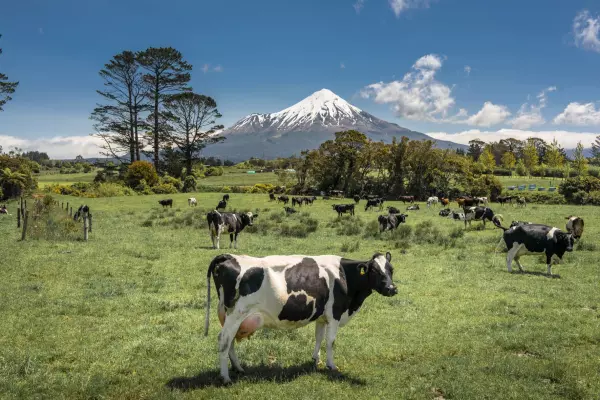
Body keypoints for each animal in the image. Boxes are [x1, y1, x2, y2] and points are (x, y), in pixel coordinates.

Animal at [205, 252, 398, 382]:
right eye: (374, 270)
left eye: (391, 269)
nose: (392, 288)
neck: (344, 275)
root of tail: (229, 256)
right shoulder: (335, 314)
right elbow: (331, 341)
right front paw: (331, 366)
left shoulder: (322, 316)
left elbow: (319, 337)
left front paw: (316, 360)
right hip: (236, 314)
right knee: (224, 340)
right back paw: (225, 377)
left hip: (232, 317)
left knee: (229, 341)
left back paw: (238, 368)